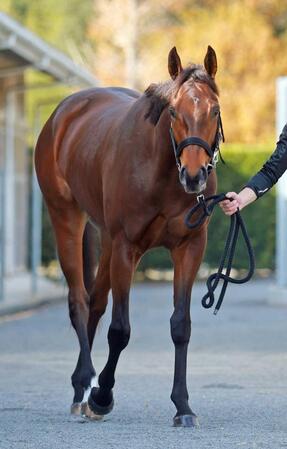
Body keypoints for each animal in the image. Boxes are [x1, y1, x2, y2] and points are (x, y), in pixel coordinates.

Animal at [34, 46, 223, 428]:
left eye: (214, 110)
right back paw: (86, 385)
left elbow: (180, 325)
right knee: (79, 301)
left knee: (95, 301)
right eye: (174, 111)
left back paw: (81, 388)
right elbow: (120, 330)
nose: (194, 176)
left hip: (105, 238)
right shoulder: (127, 248)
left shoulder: (189, 248)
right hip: (66, 217)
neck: (160, 171)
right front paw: (102, 396)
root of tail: (64, 113)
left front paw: (183, 405)